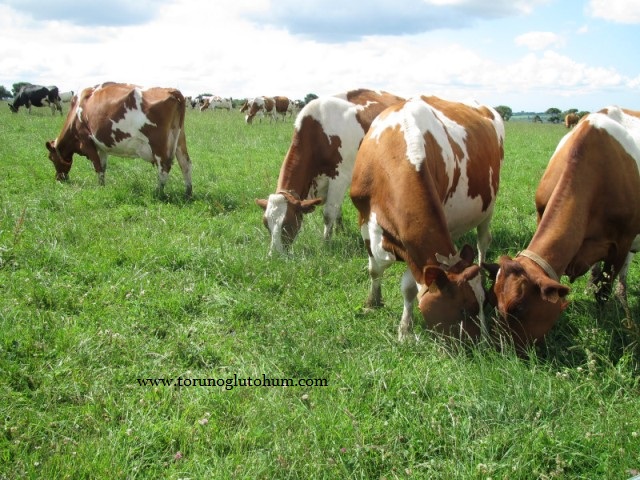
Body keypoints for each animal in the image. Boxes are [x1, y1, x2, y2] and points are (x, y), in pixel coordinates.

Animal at [45, 81, 192, 198]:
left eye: (51, 158)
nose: (58, 179)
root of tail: (172, 90)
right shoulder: (102, 147)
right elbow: (103, 167)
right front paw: (102, 185)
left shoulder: (86, 141)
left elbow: (97, 167)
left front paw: (100, 188)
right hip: (179, 139)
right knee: (185, 164)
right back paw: (188, 193)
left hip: (158, 143)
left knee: (164, 167)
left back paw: (158, 193)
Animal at [255, 90, 404, 255]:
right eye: (266, 224)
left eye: (288, 224)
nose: (274, 255)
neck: (318, 134)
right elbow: (336, 210)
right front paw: (340, 231)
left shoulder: (339, 179)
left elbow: (328, 214)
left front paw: (325, 243)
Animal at [350, 94, 504, 342]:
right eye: (464, 309)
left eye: (484, 304)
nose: (485, 343)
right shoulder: (364, 218)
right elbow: (374, 269)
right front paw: (373, 302)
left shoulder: (414, 247)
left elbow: (410, 288)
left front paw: (405, 329)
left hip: (488, 209)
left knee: (483, 241)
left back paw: (482, 265)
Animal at [484, 107, 640, 350]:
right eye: (491, 299)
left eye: (517, 308)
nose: (501, 350)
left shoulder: (622, 243)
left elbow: (604, 291)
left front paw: (603, 319)